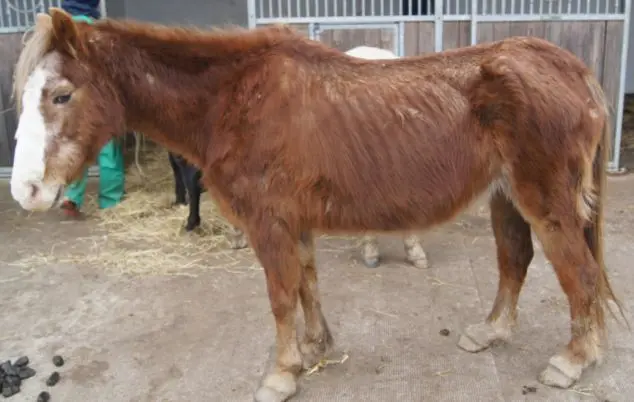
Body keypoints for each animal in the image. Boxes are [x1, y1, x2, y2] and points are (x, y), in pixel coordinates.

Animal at [12, 7, 624, 400]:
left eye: (61, 95)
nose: (26, 191)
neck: (235, 99)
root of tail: (572, 68)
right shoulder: (294, 223)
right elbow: (306, 282)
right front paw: (313, 347)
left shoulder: (268, 224)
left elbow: (281, 296)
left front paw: (281, 374)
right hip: (506, 199)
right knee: (514, 262)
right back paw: (491, 333)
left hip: (546, 201)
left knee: (579, 274)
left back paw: (572, 362)